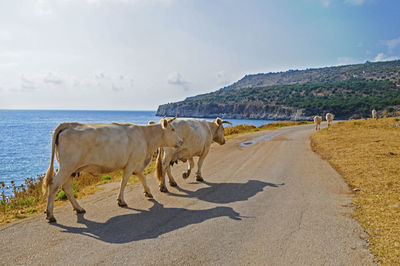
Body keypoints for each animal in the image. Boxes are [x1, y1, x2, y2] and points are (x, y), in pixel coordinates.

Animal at [42, 118, 183, 222]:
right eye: (172, 129)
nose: (181, 141)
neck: (146, 137)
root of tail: (68, 124)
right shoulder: (131, 163)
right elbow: (124, 182)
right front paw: (121, 201)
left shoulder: (136, 164)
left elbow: (142, 177)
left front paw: (148, 192)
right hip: (67, 166)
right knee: (54, 185)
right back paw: (50, 215)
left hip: (70, 169)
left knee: (67, 187)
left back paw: (79, 208)